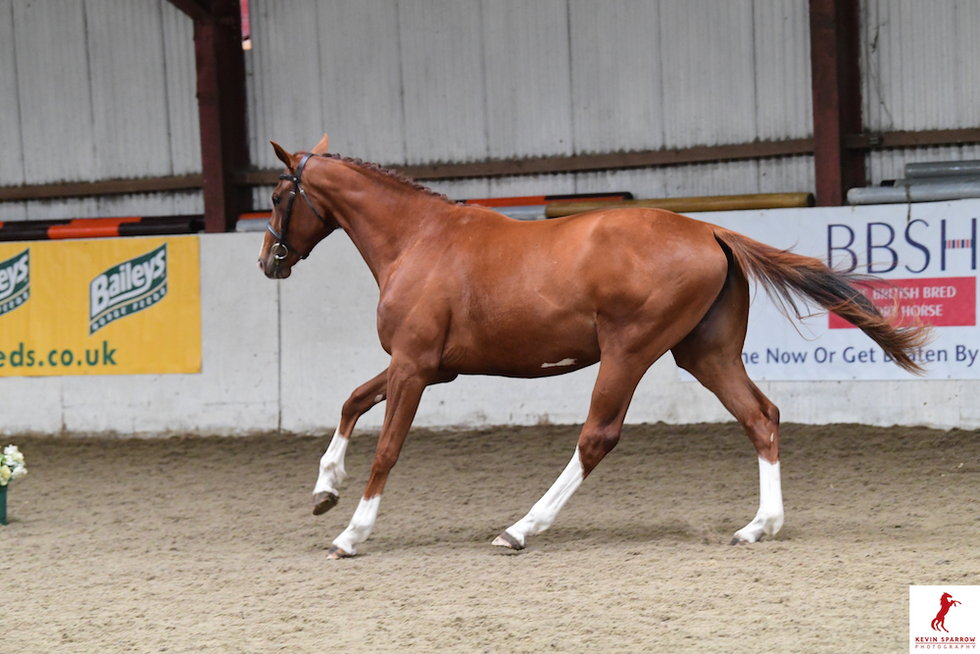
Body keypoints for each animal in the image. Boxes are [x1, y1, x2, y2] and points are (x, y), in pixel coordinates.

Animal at [257, 135, 931, 559]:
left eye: (277, 197)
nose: (268, 261)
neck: (418, 240)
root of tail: (710, 229)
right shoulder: (428, 368)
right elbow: (350, 401)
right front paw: (324, 491)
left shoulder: (414, 368)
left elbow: (387, 448)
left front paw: (351, 533)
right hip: (704, 355)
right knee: (761, 417)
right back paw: (758, 527)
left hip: (628, 353)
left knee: (597, 437)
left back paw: (520, 529)